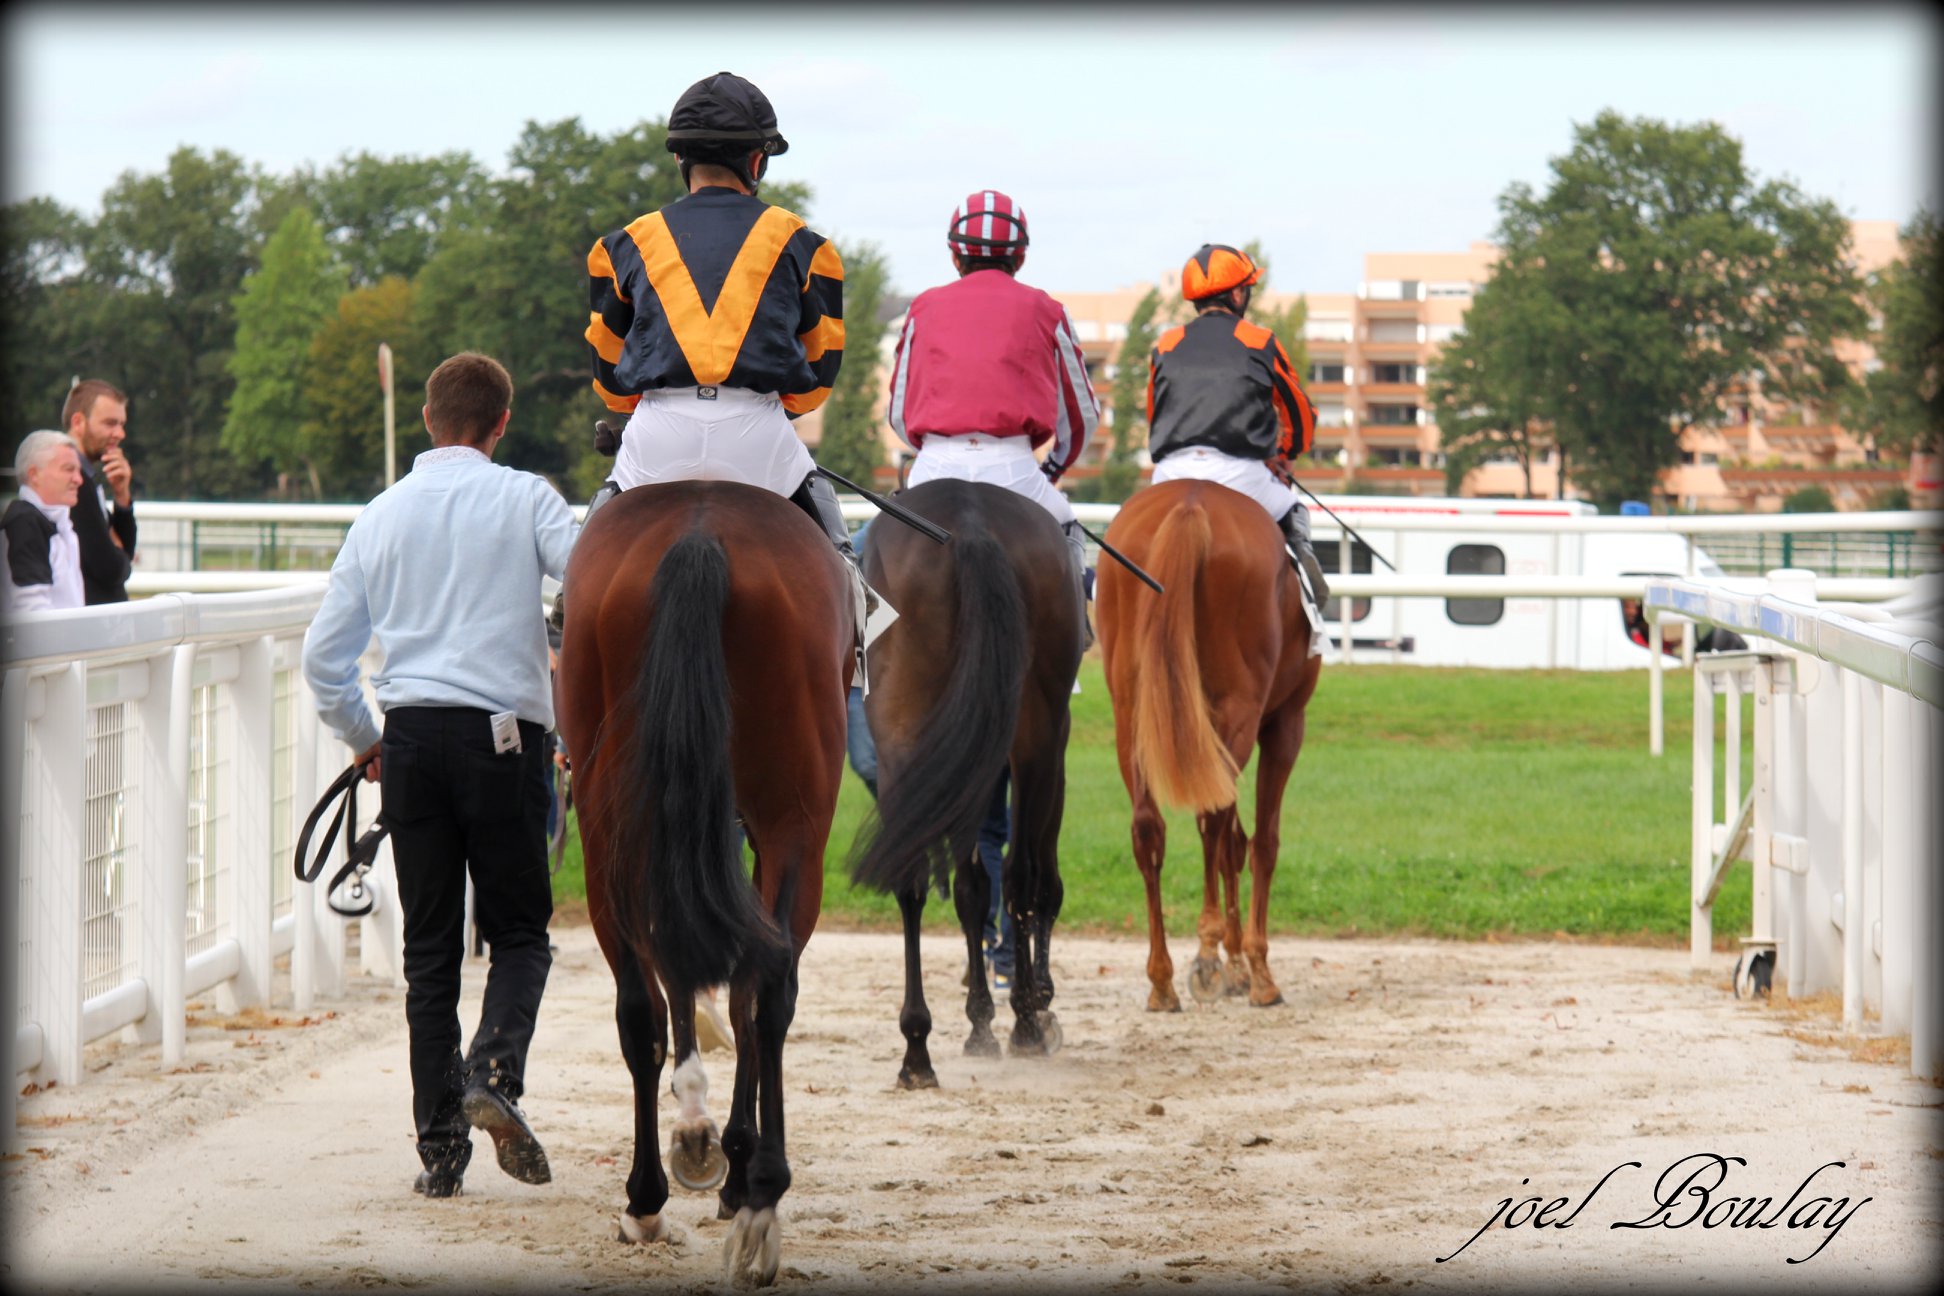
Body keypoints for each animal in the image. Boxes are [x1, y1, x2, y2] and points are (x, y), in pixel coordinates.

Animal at [548, 481, 851, 1282]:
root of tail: (701, 530)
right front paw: (728, 1160)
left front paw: (702, 1141)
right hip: (793, 821)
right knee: (765, 990)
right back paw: (754, 1198)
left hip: (615, 826)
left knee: (643, 1004)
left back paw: (662, 1185)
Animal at [855, 476, 1096, 1088]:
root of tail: (970, 522)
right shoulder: (1042, 756)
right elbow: (1018, 882)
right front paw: (1021, 1010)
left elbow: (972, 887)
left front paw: (985, 1019)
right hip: (1033, 734)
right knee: (1022, 874)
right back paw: (1024, 1022)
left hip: (904, 736)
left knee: (915, 878)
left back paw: (917, 1050)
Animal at [1096, 476, 1321, 1010]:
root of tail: (1191, 501)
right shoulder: (1284, 725)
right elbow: (1261, 842)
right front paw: (1254, 968)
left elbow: (1234, 845)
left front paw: (1236, 962)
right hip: (1237, 712)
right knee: (1212, 821)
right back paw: (1206, 954)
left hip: (1132, 716)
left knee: (1149, 828)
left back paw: (1162, 979)